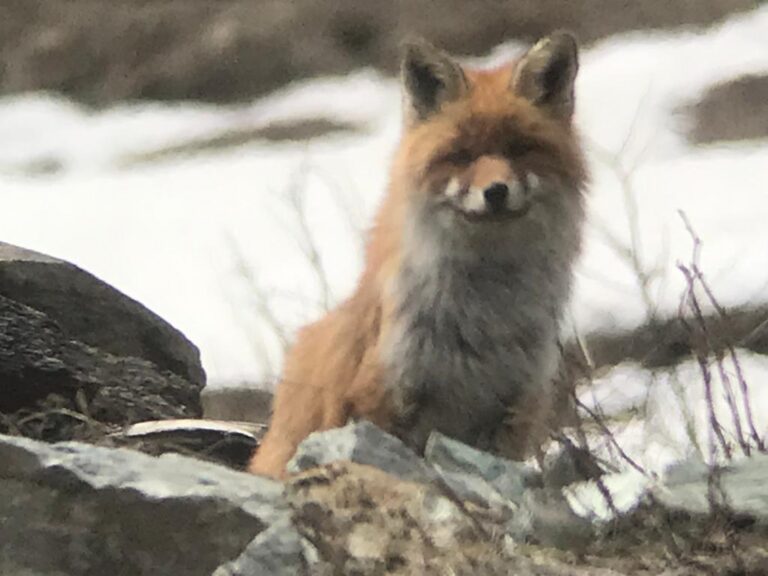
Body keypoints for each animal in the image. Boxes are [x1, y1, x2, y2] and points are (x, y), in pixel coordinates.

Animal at [248, 32, 588, 479]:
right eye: (460, 154)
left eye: (519, 149)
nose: (495, 192)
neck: (486, 320)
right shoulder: (385, 397)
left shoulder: (513, 410)